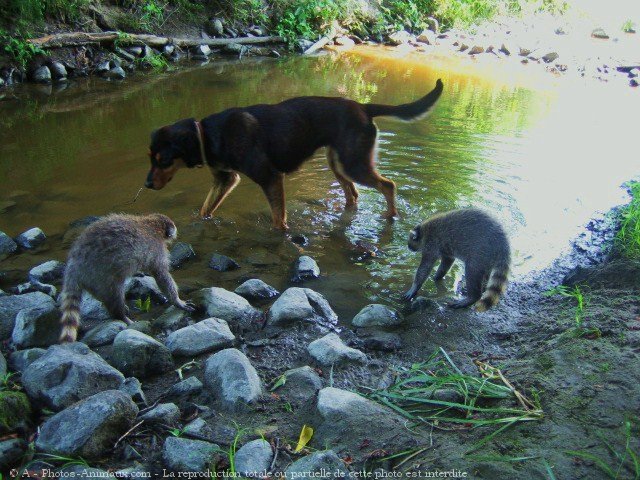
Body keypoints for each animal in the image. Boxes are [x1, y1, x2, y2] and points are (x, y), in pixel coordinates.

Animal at [60, 213, 195, 342]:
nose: (176, 230)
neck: (152, 223)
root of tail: (74, 264)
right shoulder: (157, 249)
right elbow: (162, 276)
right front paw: (177, 300)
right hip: (100, 273)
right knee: (115, 293)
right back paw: (120, 315)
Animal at [146, 79, 442, 230]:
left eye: (164, 160)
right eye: (151, 158)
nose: (147, 184)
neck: (207, 134)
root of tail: (363, 106)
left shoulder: (270, 178)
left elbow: (278, 220)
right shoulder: (225, 179)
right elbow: (205, 209)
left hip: (354, 163)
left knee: (388, 185)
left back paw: (390, 216)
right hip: (338, 163)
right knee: (353, 194)